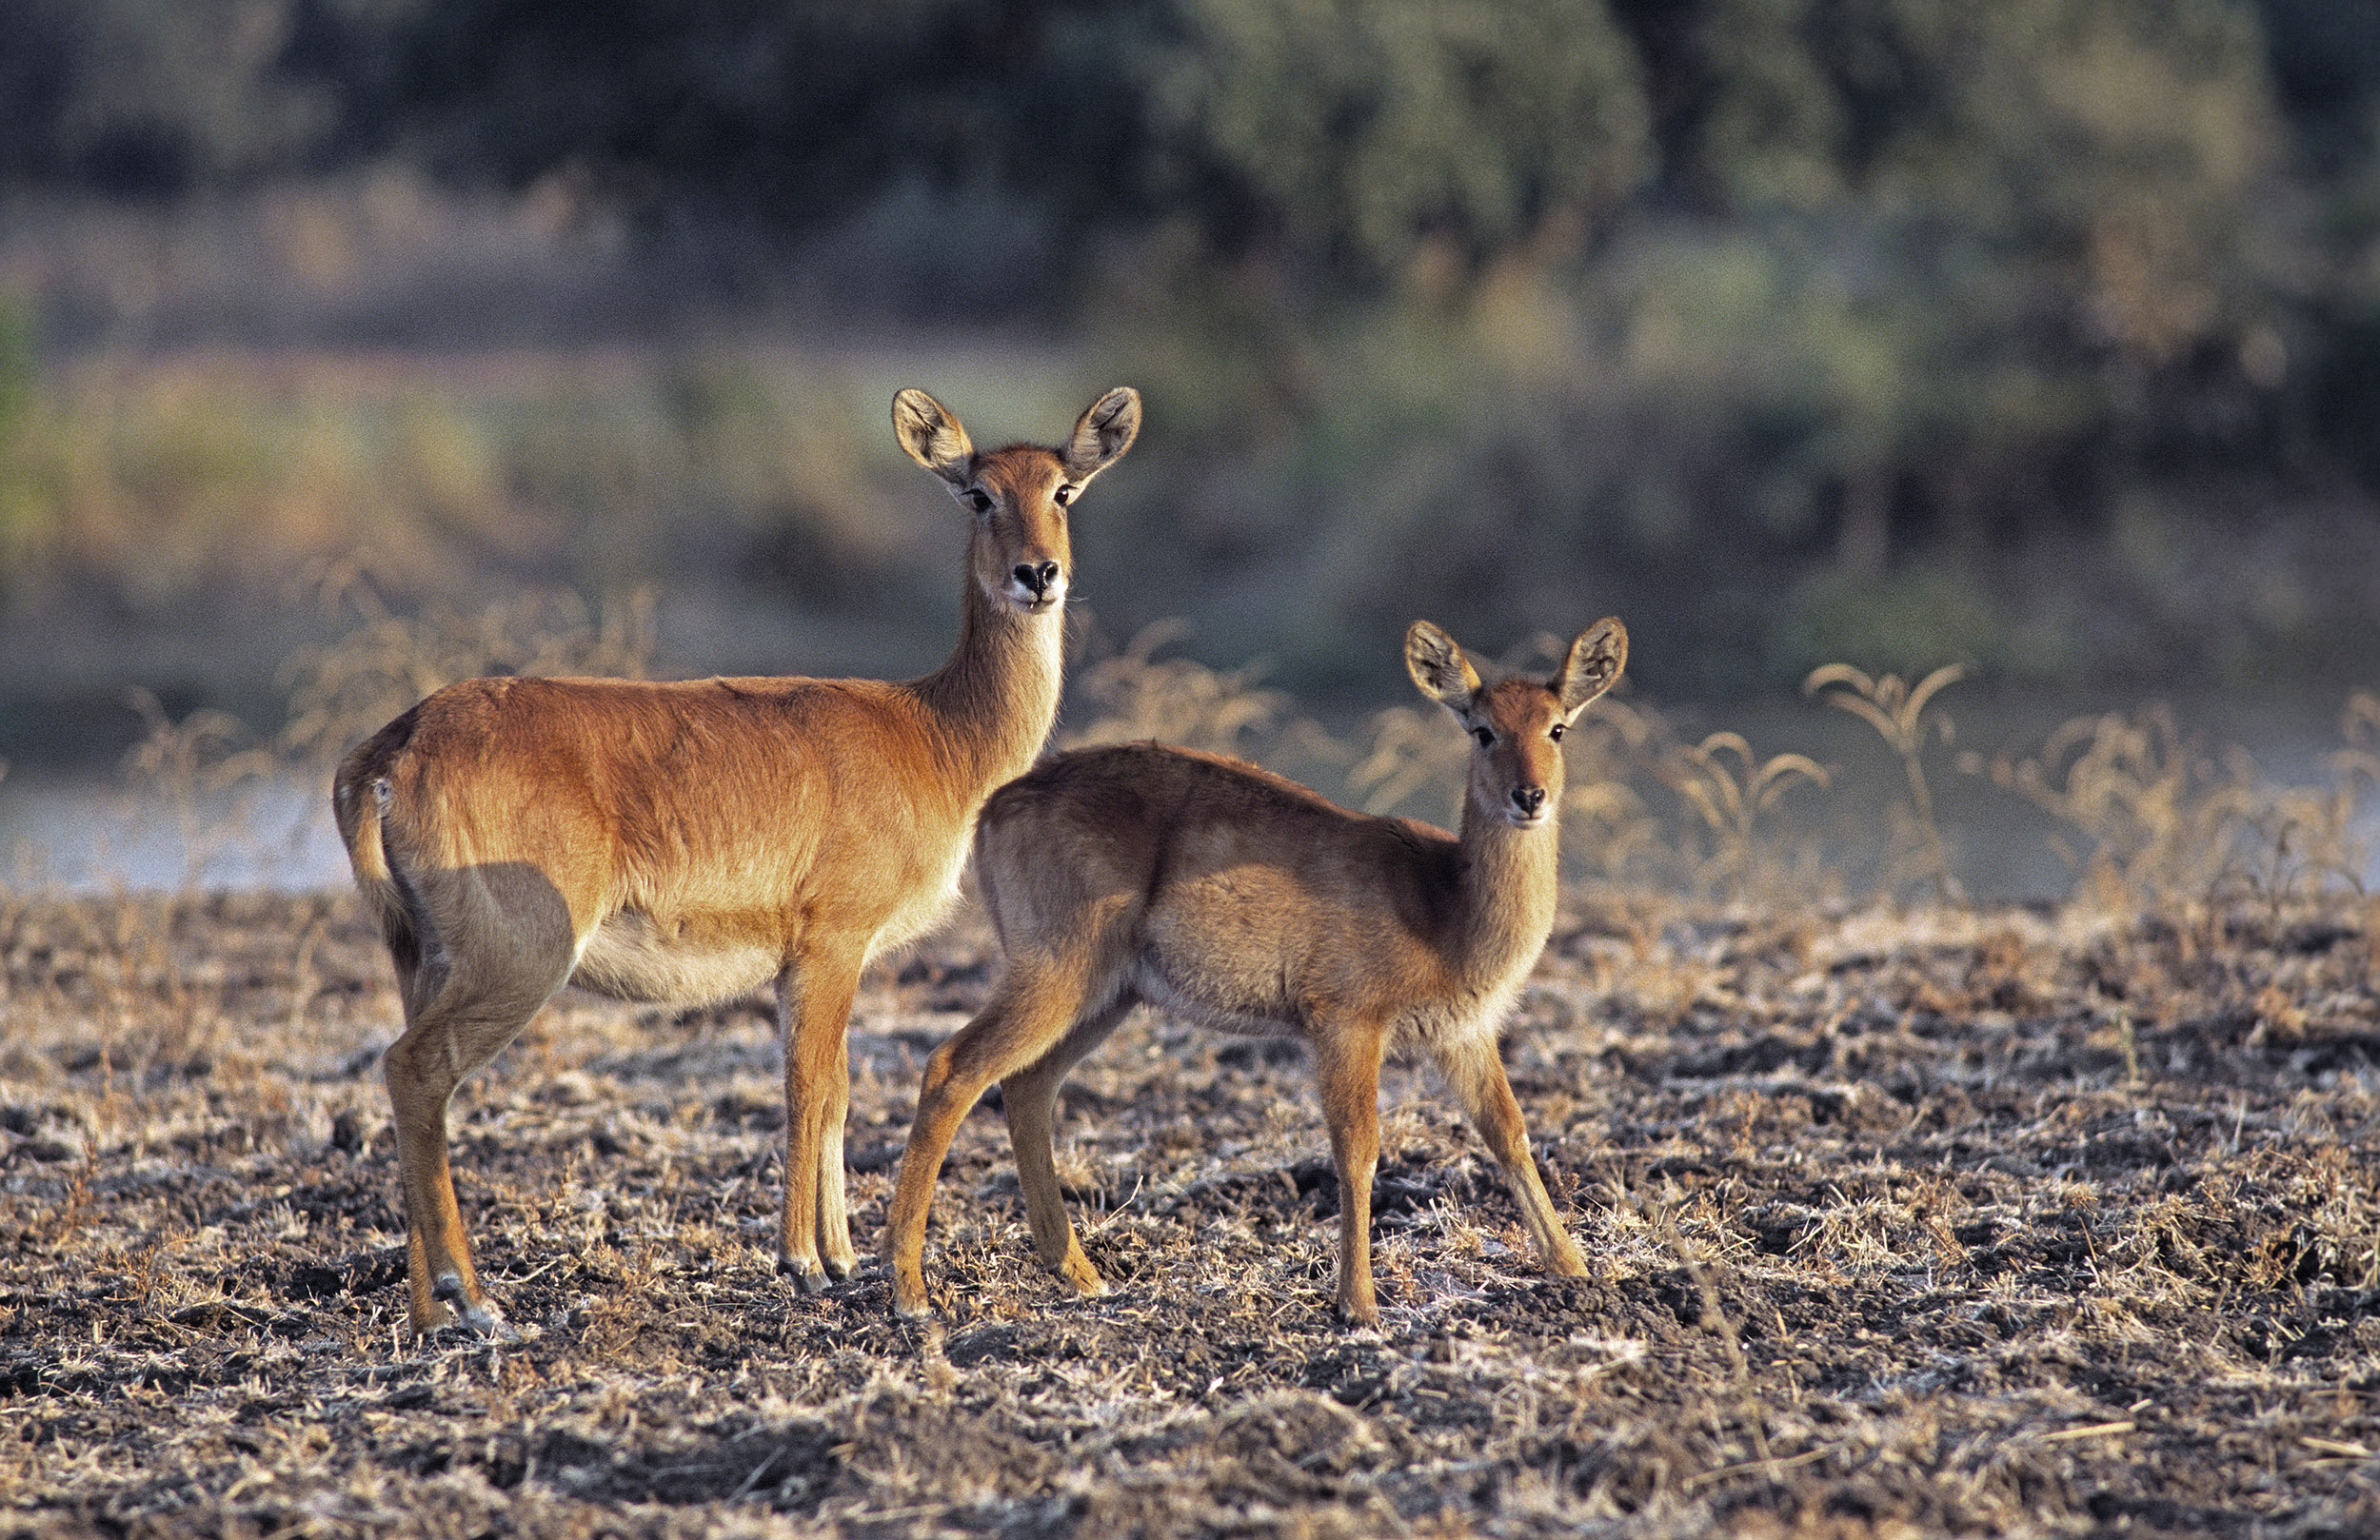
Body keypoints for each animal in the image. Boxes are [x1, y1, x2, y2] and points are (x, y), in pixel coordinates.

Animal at [335, 387, 1142, 1333]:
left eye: (1063, 490)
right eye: (978, 493)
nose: (1037, 575)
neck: (936, 735)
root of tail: (393, 748)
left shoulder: (814, 962)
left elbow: (833, 1089)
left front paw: (838, 1256)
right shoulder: (832, 943)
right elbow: (811, 1087)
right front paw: (807, 1262)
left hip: (423, 959)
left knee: (409, 1086)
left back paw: (428, 1311)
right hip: (518, 961)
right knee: (415, 1071)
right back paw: (475, 1301)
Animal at [885, 614, 1628, 1323]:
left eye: (1557, 726)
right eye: (1482, 730)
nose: (1529, 796)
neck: (1445, 904)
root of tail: (994, 807)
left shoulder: (1462, 1035)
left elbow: (1511, 1133)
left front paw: (1576, 1268)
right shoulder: (1345, 1022)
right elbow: (1359, 1150)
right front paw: (1358, 1303)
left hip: (1107, 994)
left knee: (1027, 1085)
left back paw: (1081, 1274)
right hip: (1055, 970)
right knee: (952, 1068)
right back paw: (910, 1290)